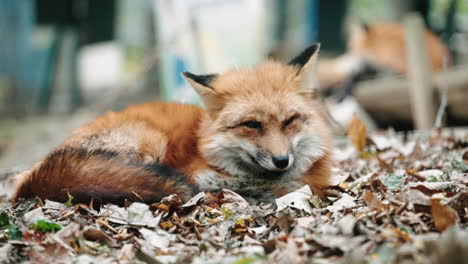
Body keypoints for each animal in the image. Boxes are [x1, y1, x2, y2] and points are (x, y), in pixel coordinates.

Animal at [11, 44, 332, 207]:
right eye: (251, 125)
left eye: (290, 122)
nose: (281, 160)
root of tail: (28, 180)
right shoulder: (201, 175)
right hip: (150, 140)